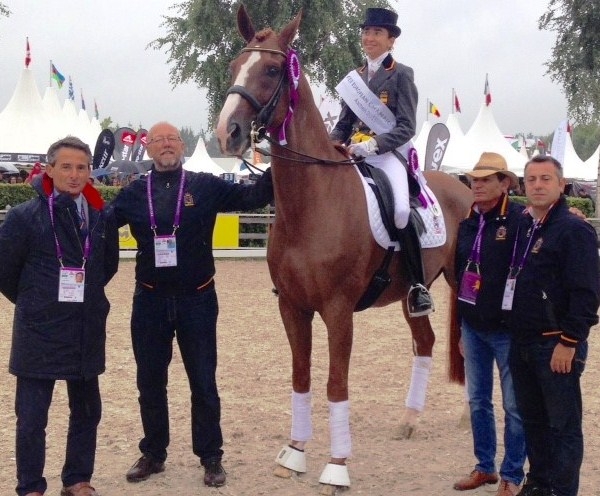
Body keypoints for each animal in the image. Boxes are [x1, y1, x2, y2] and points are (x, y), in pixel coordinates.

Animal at [217, 5, 474, 494]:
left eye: (272, 70)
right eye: (233, 66)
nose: (228, 132)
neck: (313, 202)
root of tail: (469, 187)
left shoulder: (337, 310)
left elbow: (336, 383)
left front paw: (336, 466)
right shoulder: (293, 307)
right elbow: (301, 376)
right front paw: (294, 453)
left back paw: (473, 417)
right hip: (412, 296)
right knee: (427, 343)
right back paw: (409, 421)